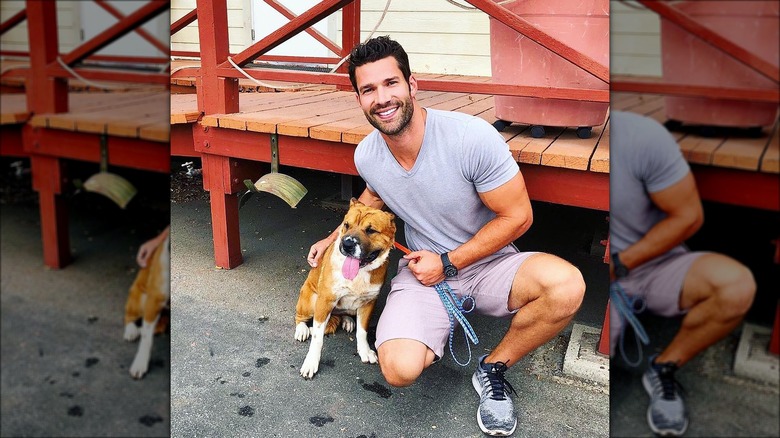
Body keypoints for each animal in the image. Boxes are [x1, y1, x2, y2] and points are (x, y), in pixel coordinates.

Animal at [124, 234, 170, 378]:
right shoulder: (154, 300)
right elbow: (146, 339)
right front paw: (140, 364)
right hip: (141, 299)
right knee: (129, 316)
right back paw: (131, 331)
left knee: (158, 327)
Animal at [298, 199, 400, 380]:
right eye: (346, 225)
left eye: (371, 230)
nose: (346, 244)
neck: (359, 272)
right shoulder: (325, 301)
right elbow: (317, 338)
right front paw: (311, 362)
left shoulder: (368, 303)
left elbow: (362, 331)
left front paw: (365, 351)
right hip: (310, 301)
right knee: (299, 317)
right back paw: (301, 329)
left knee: (345, 313)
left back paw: (347, 320)